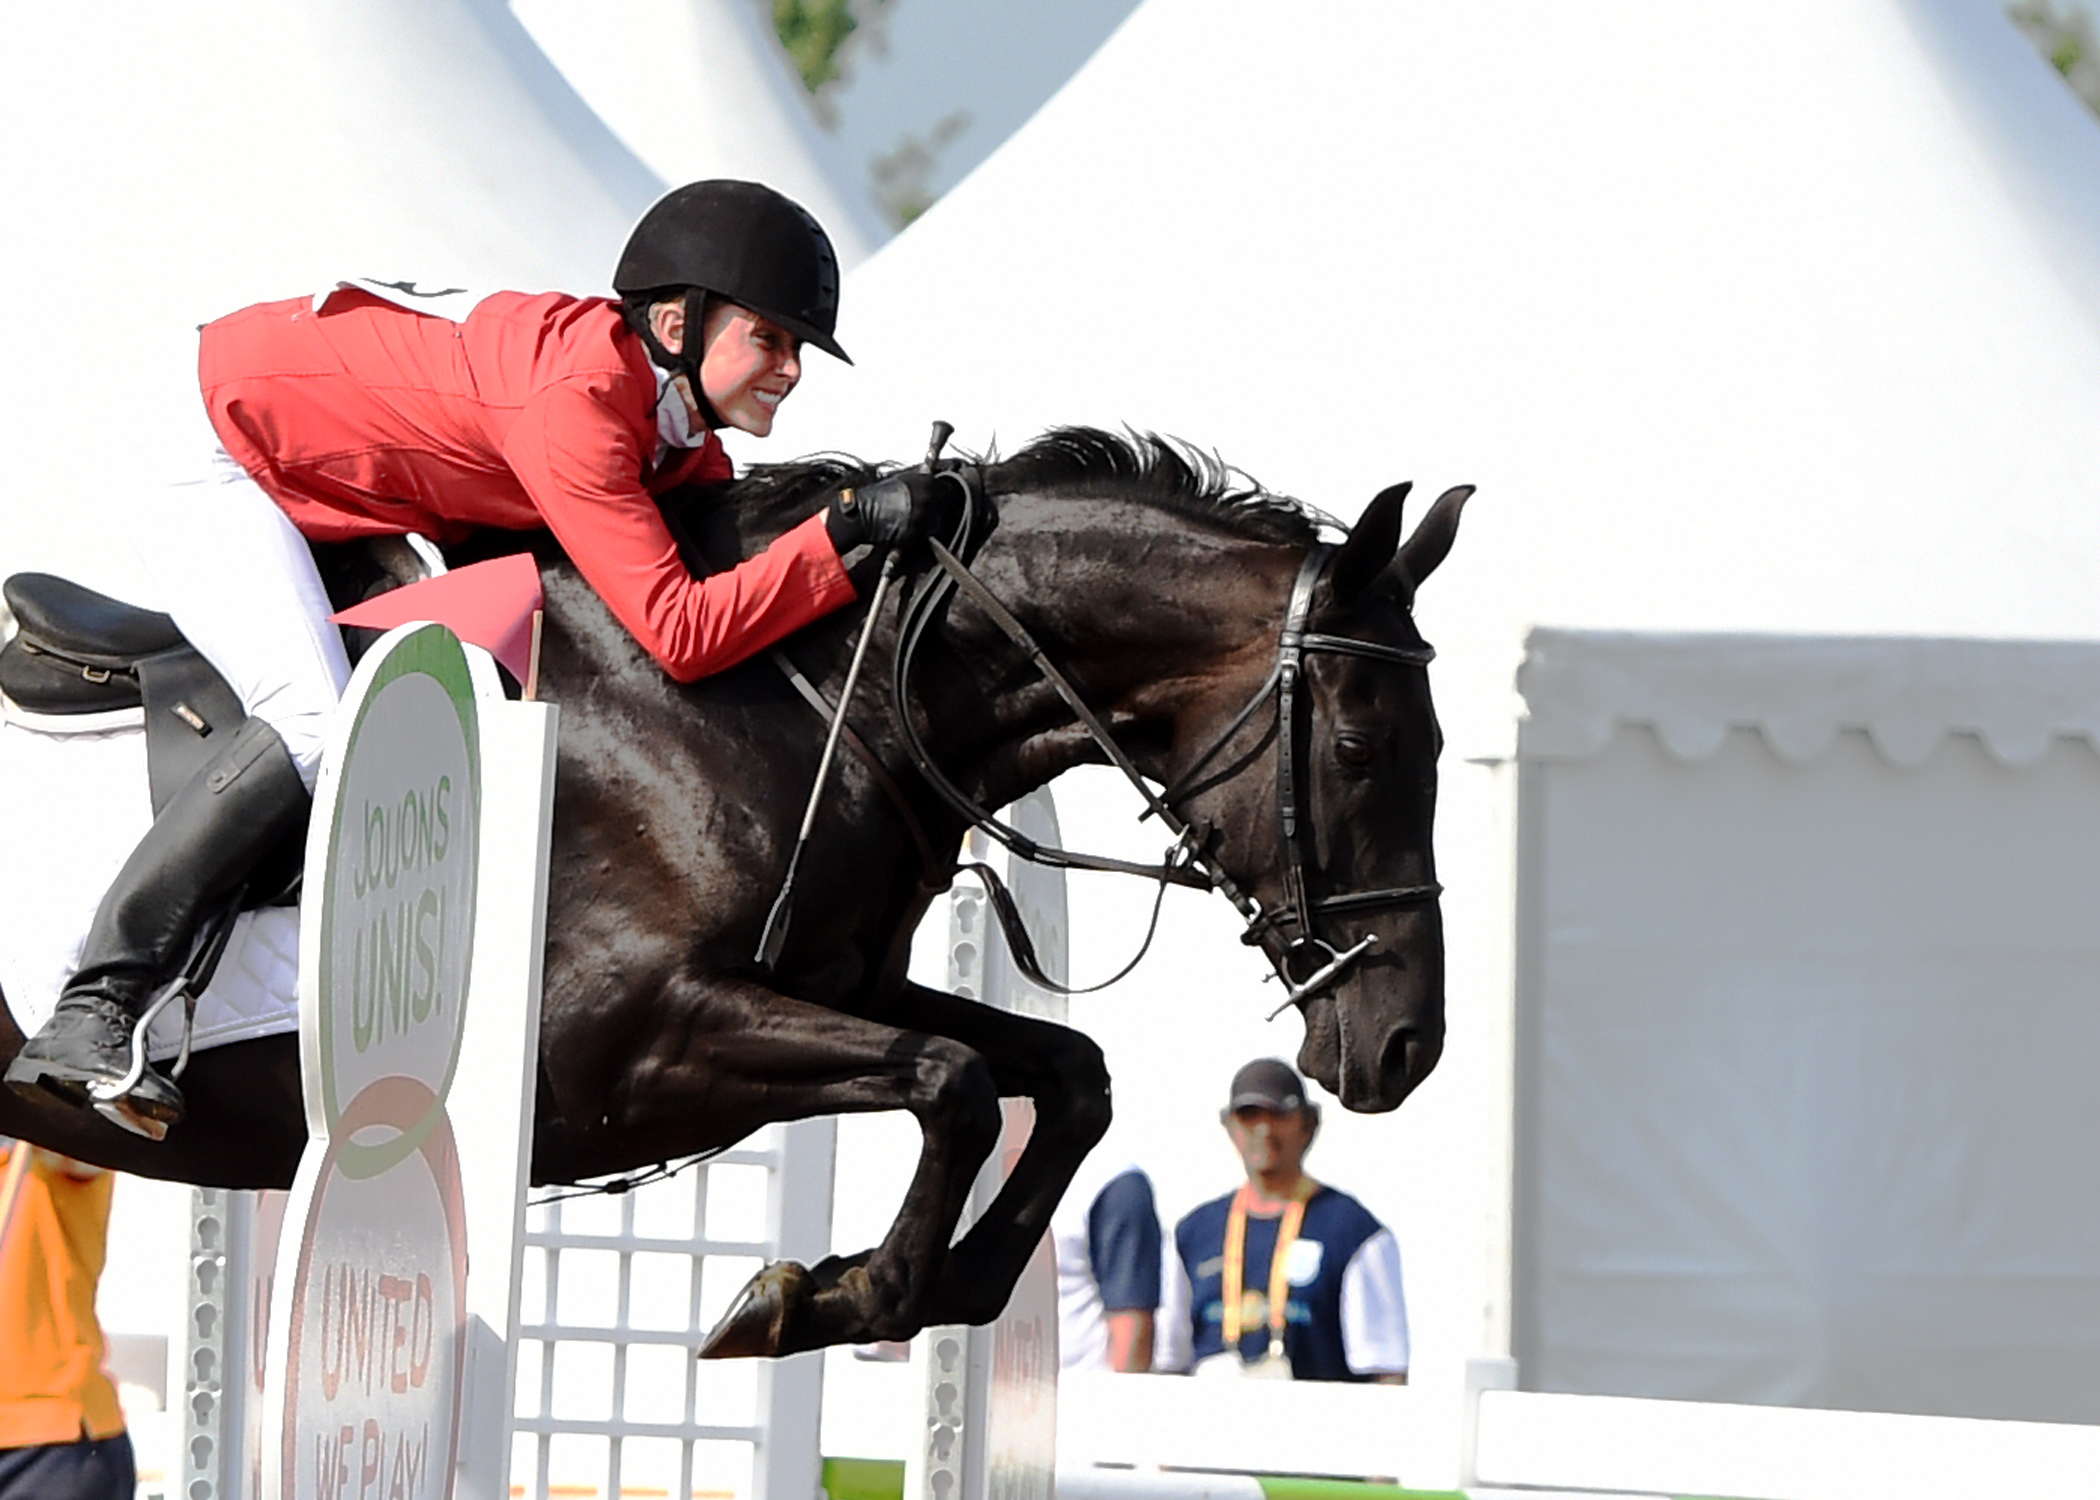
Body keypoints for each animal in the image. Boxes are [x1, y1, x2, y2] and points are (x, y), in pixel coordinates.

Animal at [0, 426, 1469, 1352]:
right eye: (1362, 747)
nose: (1404, 1045)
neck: (785, 690)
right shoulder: (626, 1051)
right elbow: (951, 1083)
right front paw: (825, 1301)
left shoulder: (830, 984)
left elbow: (1065, 1075)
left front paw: (924, 1288)